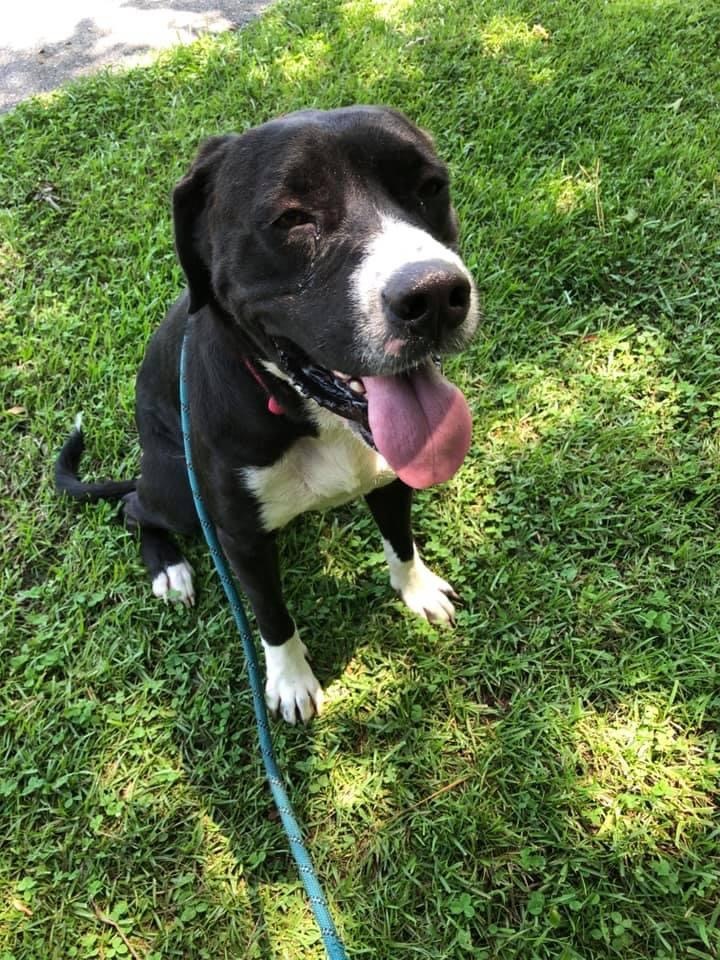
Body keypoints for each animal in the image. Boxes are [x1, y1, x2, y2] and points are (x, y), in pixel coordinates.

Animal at [56, 103, 478, 720]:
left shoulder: (393, 478)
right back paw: (170, 569)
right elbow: (271, 615)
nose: (436, 297)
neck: (310, 415)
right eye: (291, 219)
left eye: (429, 187)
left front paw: (416, 589)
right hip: (178, 493)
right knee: (135, 509)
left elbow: (400, 542)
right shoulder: (240, 538)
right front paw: (290, 680)